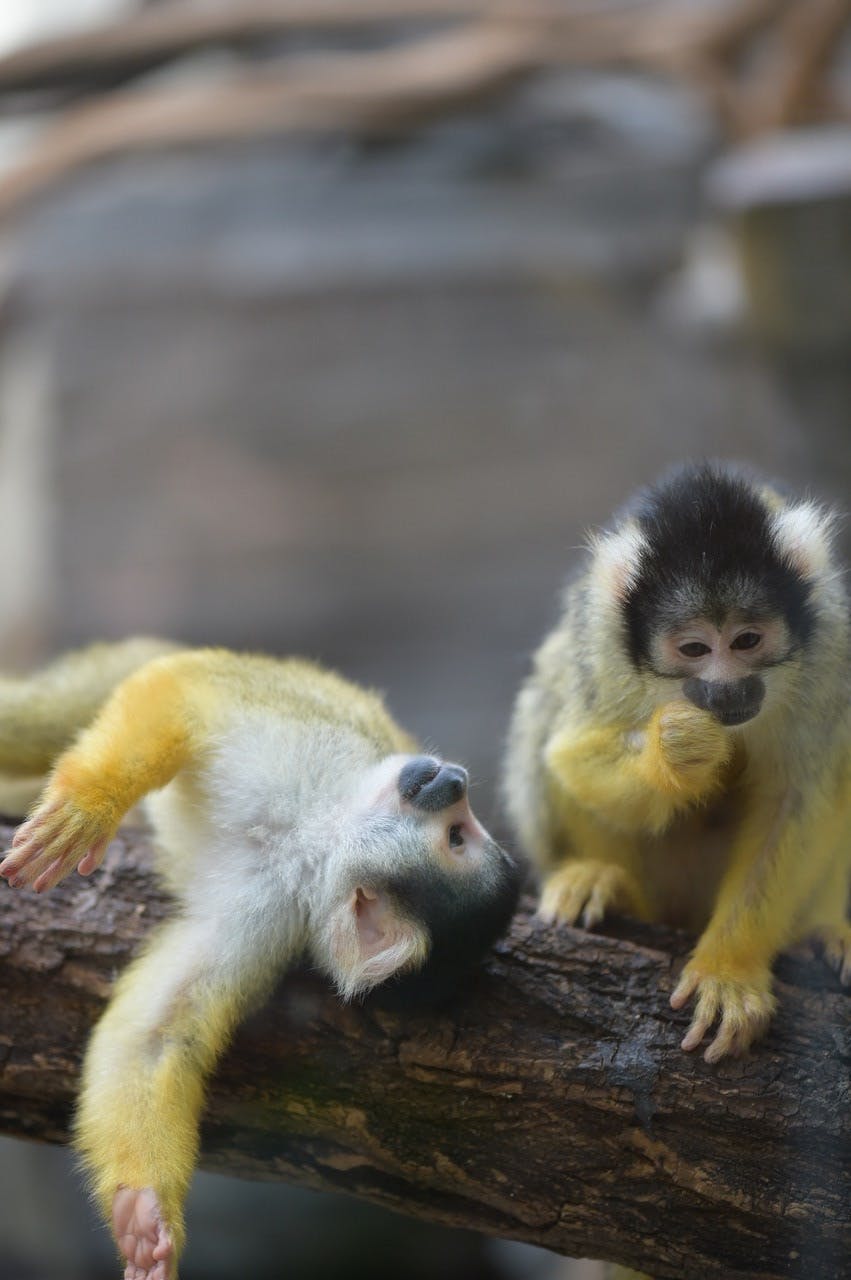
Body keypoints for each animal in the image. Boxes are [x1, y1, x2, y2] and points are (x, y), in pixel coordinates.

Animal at [0, 640, 516, 1280]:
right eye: (460, 834)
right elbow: (180, 692)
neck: (310, 841)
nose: (453, 779)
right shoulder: (312, 748)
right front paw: (89, 808)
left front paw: (144, 1211)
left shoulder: (273, 918)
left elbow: (154, 1035)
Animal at [504, 465, 849, 1064]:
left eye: (747, 640)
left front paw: (728, 969)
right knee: (549, 691)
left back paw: (821, 930)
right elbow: (572, 754)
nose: (726, 689)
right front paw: (677, 751)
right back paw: (603, 883)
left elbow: (797, 799)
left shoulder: (828, 636)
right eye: (694, 649)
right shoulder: (602, 639)